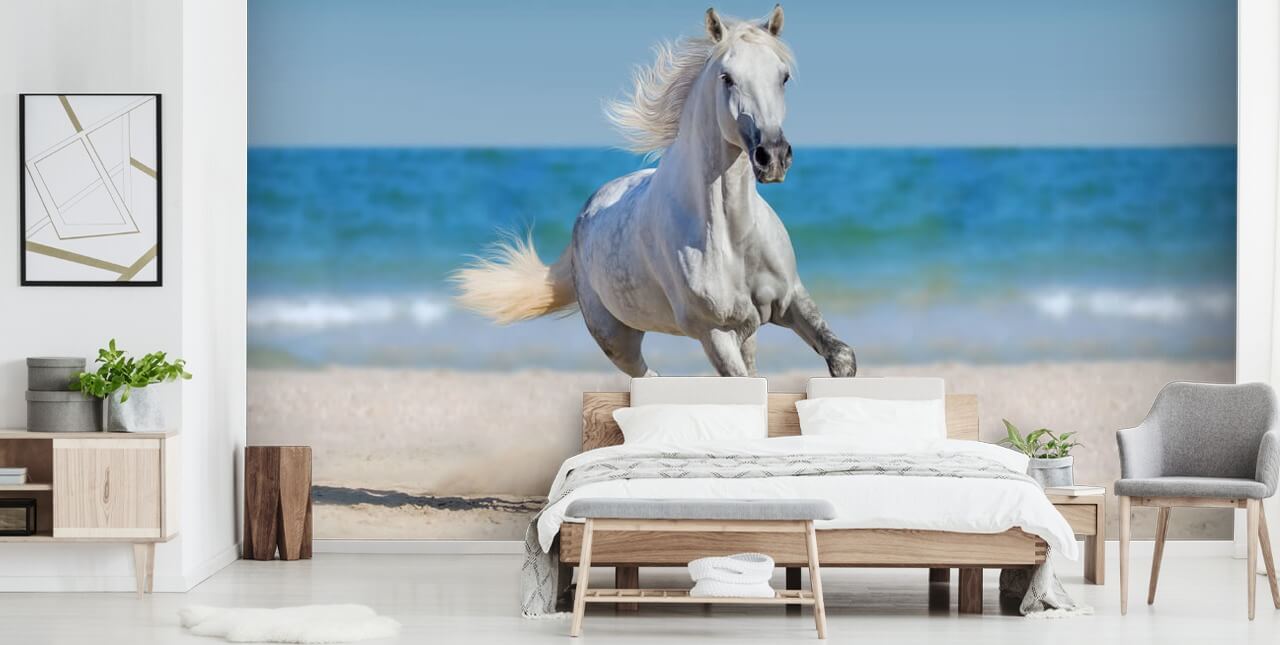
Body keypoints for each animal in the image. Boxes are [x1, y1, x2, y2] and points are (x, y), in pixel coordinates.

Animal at [452, 5, 856, 378]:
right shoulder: (715, 333)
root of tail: (587, 211)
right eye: (727, 78)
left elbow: (842, 357)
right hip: (618, 341)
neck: (732, 237)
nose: (772, 157)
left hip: (748, 333)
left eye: (783, 76)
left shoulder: (790, 300)